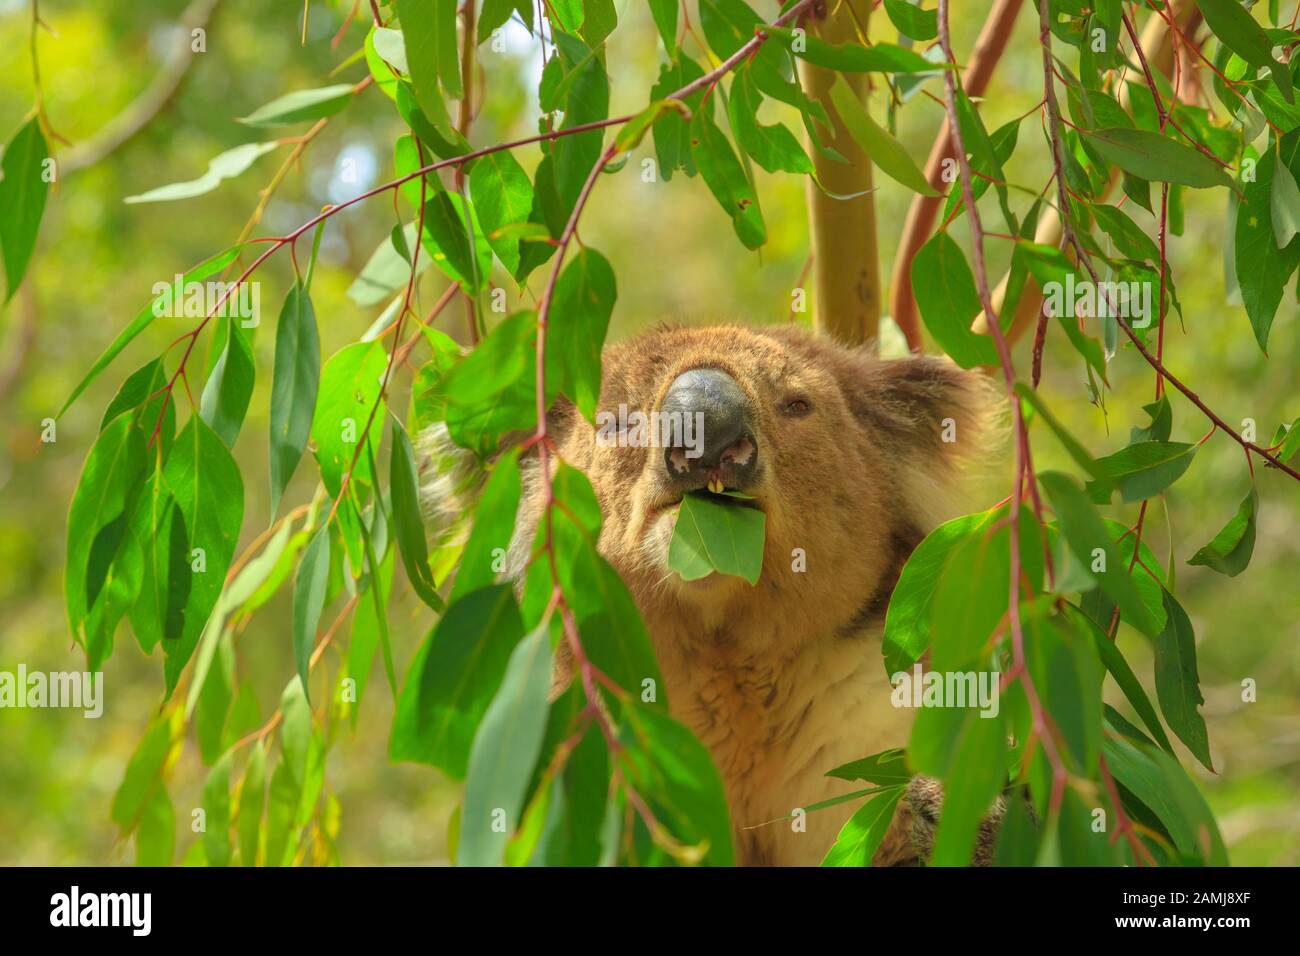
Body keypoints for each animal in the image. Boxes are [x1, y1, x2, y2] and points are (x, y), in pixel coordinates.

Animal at [422, 322, 1004, 866]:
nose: (708, 437)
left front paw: (951, 804)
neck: (728, 657)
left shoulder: (876, 715)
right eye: (617, 420)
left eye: (797, 405)